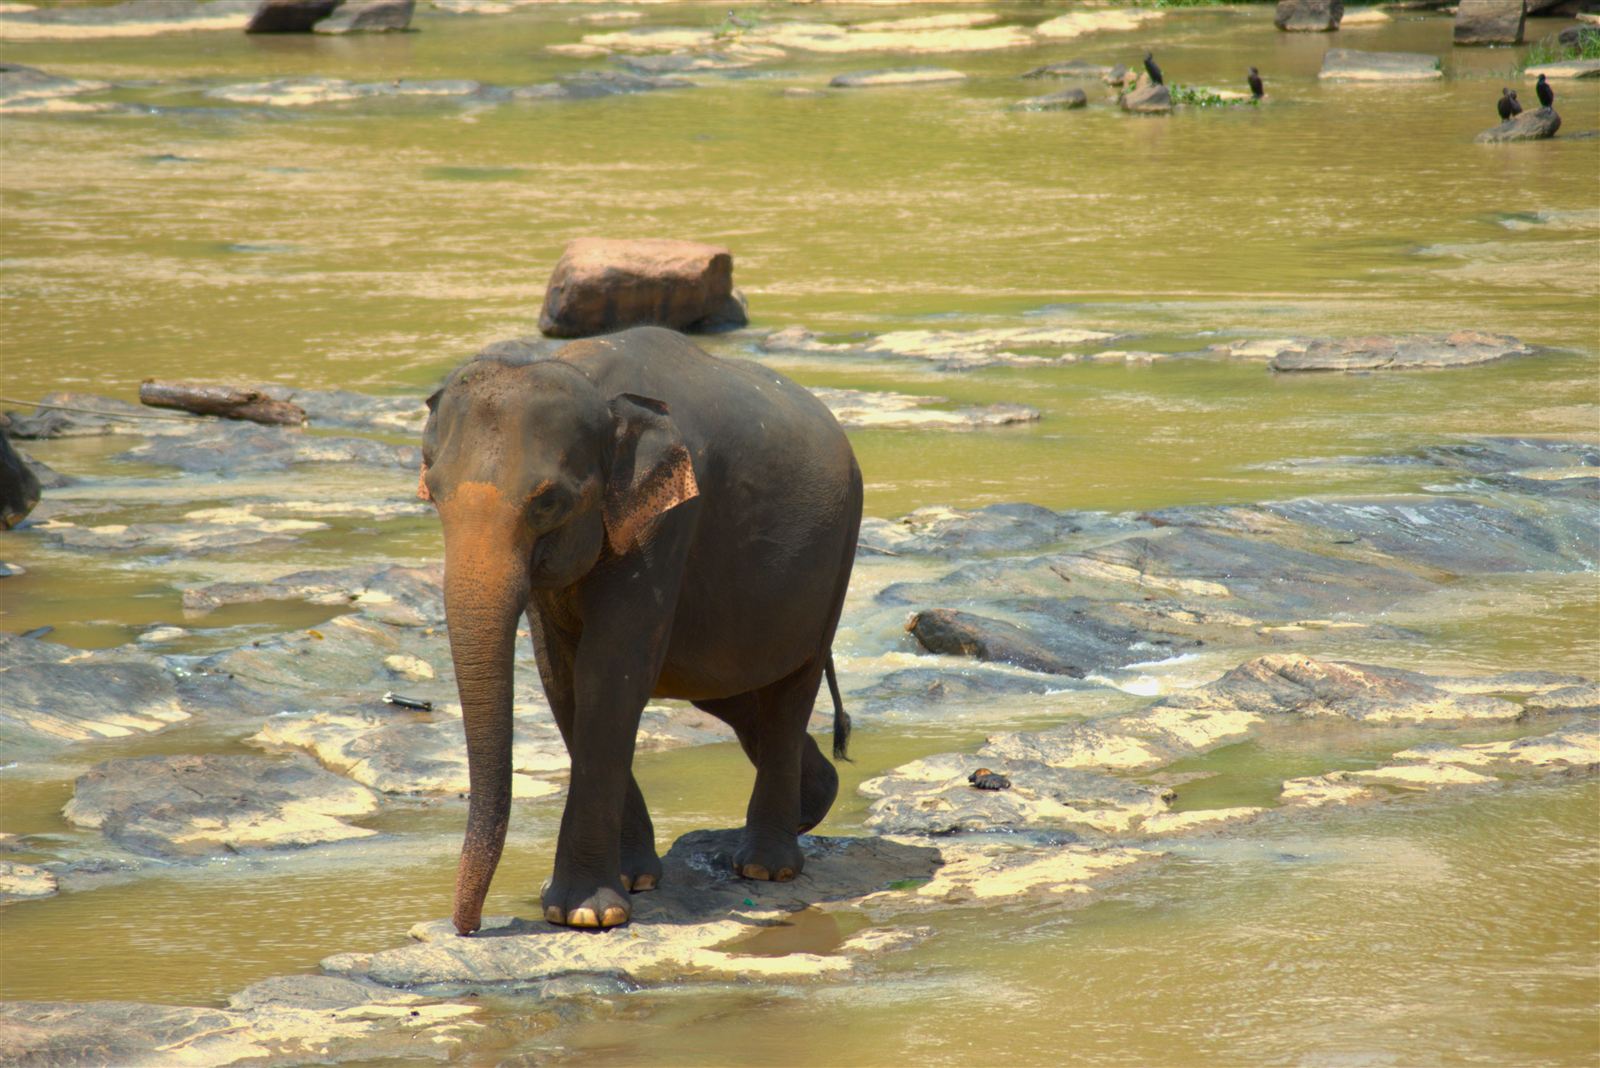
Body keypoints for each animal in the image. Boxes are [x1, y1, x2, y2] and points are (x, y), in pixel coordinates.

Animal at [420, 326, 863, 934]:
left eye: (549, 502)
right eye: (433, 492)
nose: (469, 926)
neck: (596, 388)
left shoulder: (667, 519)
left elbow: (611, 671)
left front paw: (584, 913)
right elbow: (564, 678)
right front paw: (629, 883)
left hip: (838, 554)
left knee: (791, 688)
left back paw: (766, 868)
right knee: (731, 693)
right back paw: (812, 804)